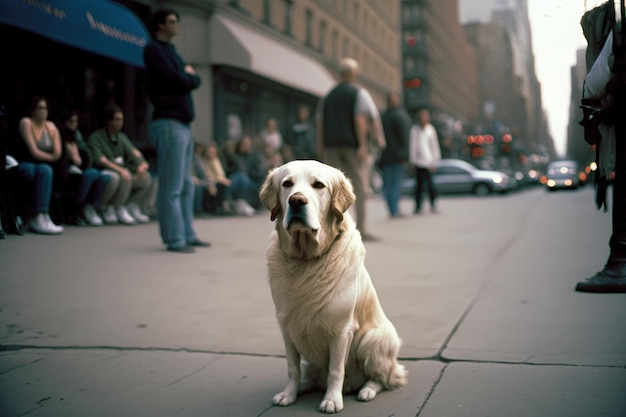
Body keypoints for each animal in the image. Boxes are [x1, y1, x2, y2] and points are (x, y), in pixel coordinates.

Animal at [258, 160, 404, 412]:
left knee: (383, 378)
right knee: (310, 374)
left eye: (318, 185)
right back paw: (305, 385)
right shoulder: (286, 327)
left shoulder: (341, 329)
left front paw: (332, 400)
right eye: (287, 184)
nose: (296, 200)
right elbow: (292, 368)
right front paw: (289, 394)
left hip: (373, 339)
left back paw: (366, 390)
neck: (306, 260)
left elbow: (336, 370)